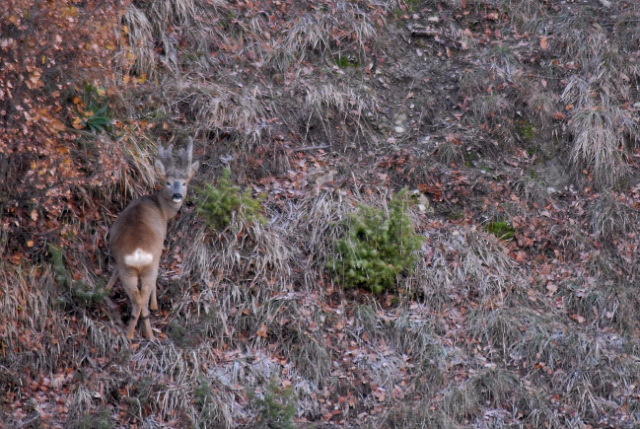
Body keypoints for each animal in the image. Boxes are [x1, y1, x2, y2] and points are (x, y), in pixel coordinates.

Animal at [106, 139, 199, 340]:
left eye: (184, 183)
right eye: (168, 182)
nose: (177, 195)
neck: (161, 207)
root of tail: (139, 253)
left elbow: (114, 269)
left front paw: (107, 287)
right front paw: (155, 304)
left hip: (128, 269)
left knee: (137, 298)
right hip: (149, 266)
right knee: (141, 301)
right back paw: (142, 334)